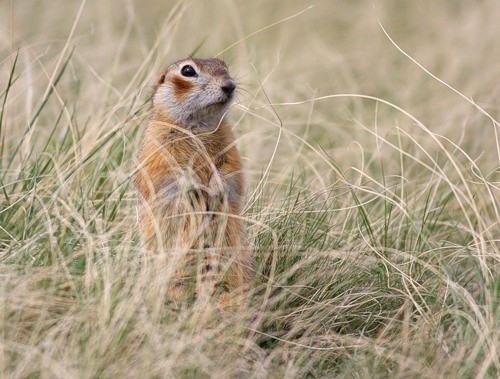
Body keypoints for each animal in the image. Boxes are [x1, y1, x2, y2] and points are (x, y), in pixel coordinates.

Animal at [134, 58, 254, 310]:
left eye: (224, 65)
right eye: (187, 71)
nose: (230, 85)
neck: (198, 127)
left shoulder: (230, 147)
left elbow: (229, 170)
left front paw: (216, 188)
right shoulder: (158, 147)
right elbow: (171, 173)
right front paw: (194, 190)